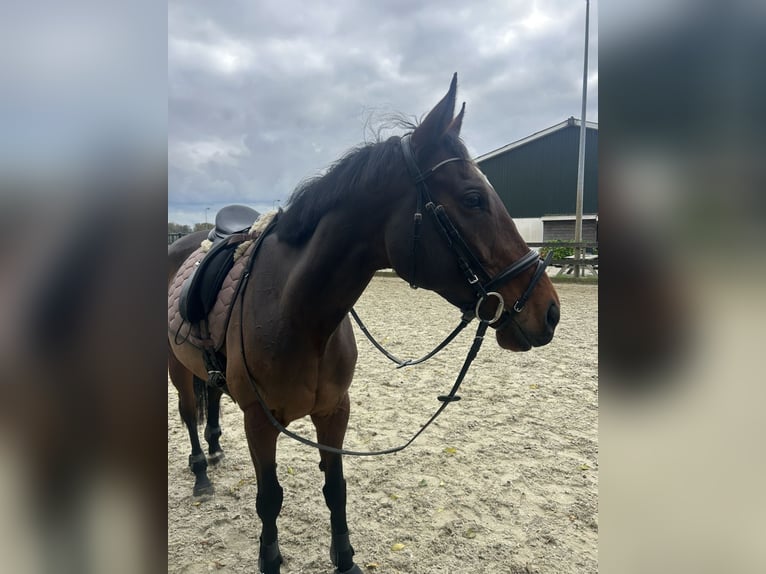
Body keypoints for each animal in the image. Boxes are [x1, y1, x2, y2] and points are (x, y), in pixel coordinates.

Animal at [168, 74, 560, 574]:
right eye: (473, 199)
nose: (549, 311)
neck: (297, 314)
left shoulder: (335, 411)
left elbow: (336, 488)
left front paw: (346, 559)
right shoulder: (259, 420)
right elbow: (269, 499)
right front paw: (271, 558)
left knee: (211, 398)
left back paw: (216, 449)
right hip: (176, 369)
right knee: (187, 412)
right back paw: (201, 471)